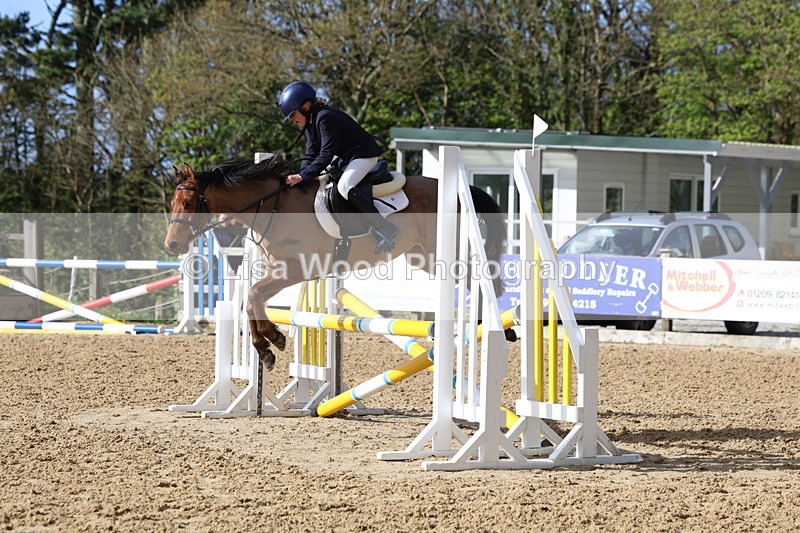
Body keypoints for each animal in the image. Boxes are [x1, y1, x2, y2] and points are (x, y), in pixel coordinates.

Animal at [164, 155, 506, 371]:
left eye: (189, 203)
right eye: (173, 203)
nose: (172, 245)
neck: (271, 207)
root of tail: (460, 192)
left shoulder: (297, 269)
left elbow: (253, 295)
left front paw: (269, 342)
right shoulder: (279, 268)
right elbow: (251, 300)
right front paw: (270, 344)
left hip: (442, 254)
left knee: (482, 277)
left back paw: (497, 325)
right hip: (423, 256)